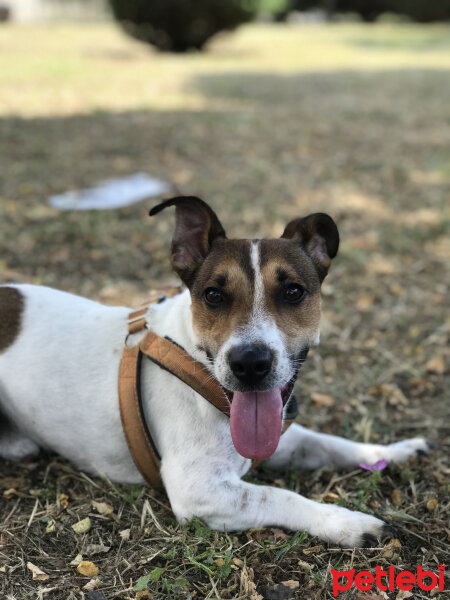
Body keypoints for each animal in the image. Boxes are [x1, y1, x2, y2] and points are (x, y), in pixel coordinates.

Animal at [0, 198, 430, 548]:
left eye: (293, 292)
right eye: (213, 295)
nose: (250, 363)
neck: (194, 366)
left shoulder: (280, 439)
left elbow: (331, 444)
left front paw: (394, 451)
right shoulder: (199, 490)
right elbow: (280, 495)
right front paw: (348, 523)